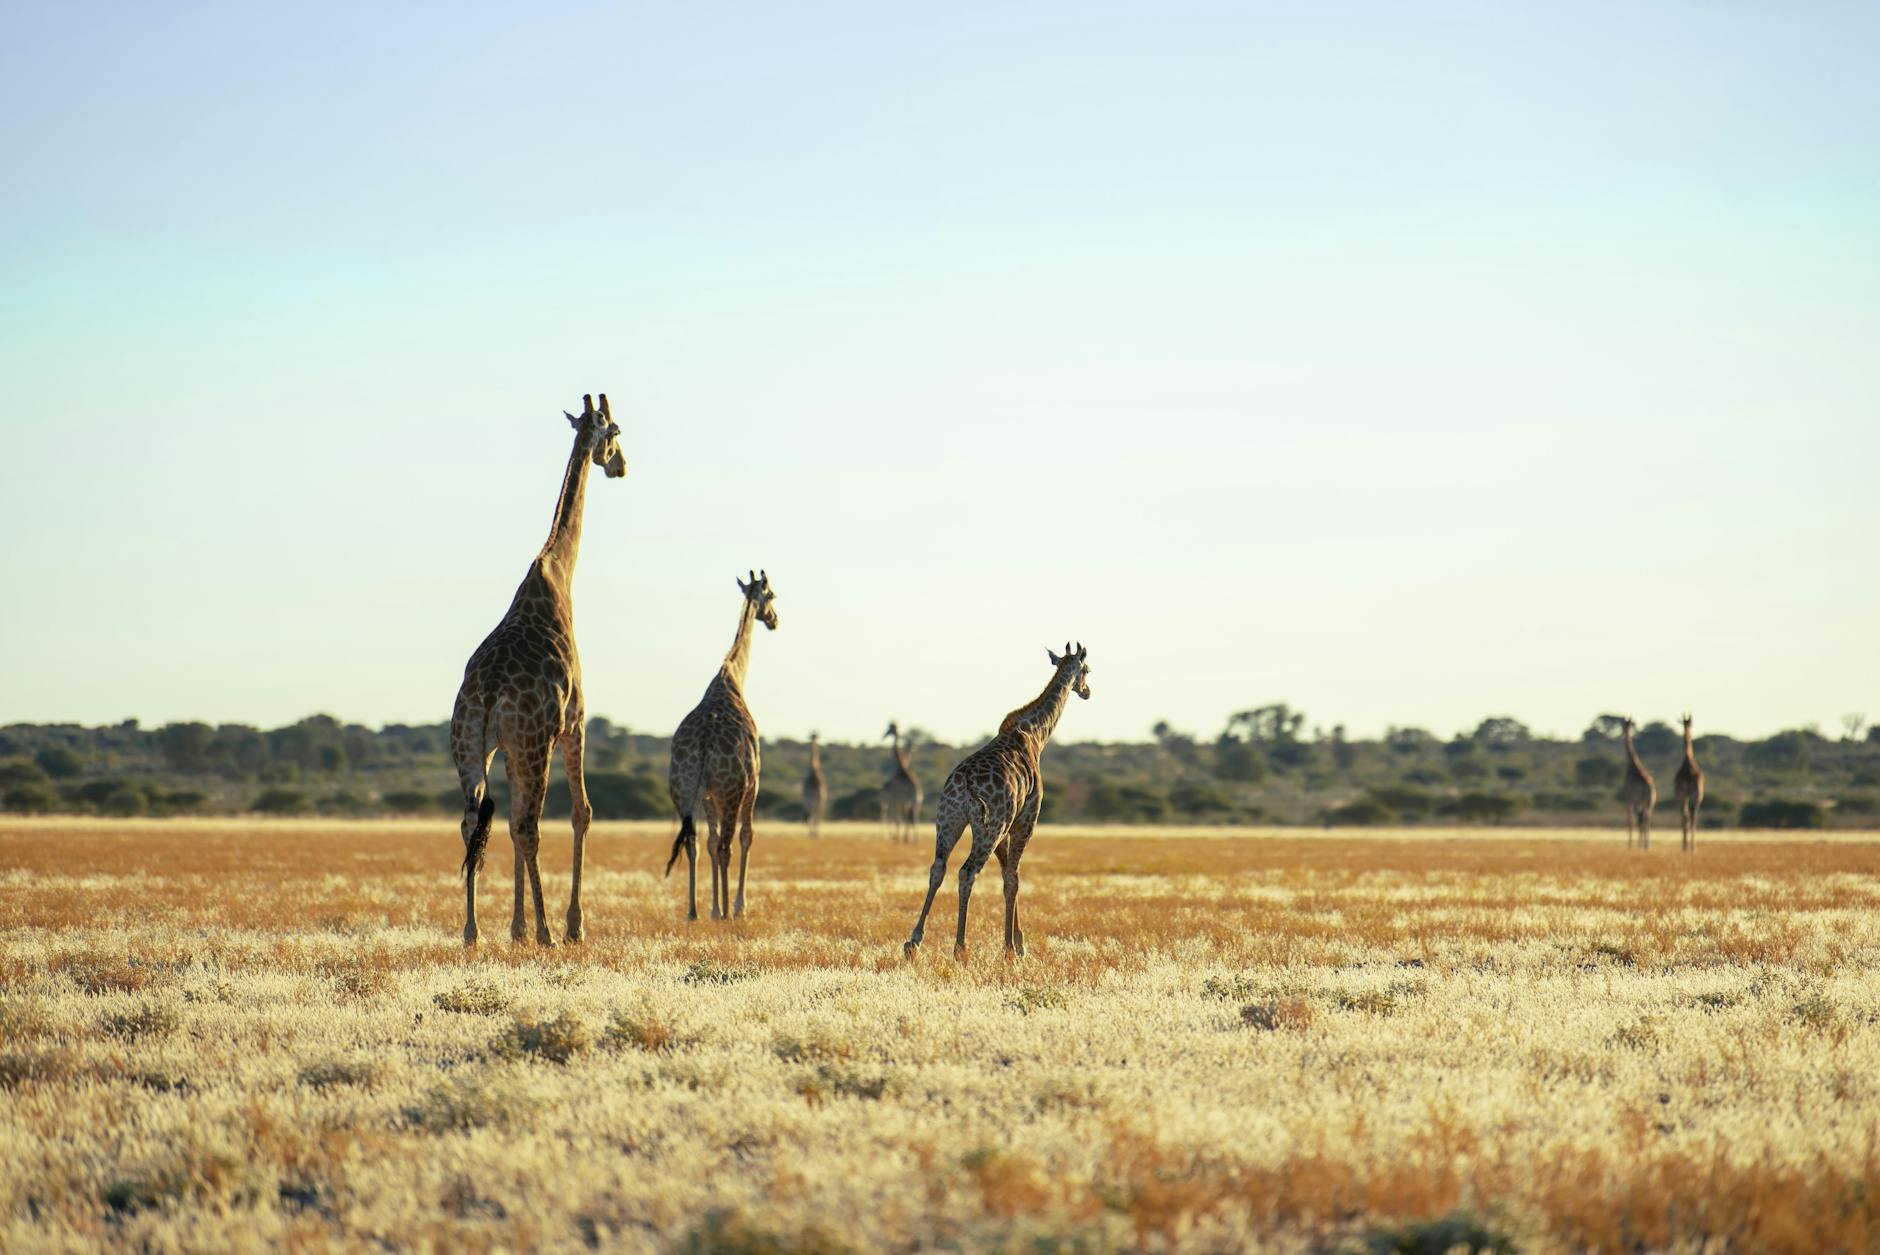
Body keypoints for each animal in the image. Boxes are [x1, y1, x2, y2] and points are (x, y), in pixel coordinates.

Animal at [451, 394, 625, 946]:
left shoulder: (507, 748)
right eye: (616, 431)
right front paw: (571, 925)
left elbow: (503, 824)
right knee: (530, 824)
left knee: (474, 820)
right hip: (534, 743)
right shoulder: (574, 724)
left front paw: (516, 927)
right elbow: (582, 813)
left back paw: (472, 930)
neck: (558, 573)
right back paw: (550, 932)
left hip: (472, 745)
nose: (620, 465)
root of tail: (486, 694)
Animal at [664, 570, 779, 920]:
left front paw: (714, 906)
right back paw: (728, 912)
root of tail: (703, 745)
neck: (732, 678)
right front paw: (736, 906)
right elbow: (746, 836)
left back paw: (693, 911)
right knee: (728, 842)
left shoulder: (707, 794)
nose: (775, 620)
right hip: (731, 790)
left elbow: (711, 842)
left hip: (683, 790)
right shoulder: (753, 782)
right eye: (772, 596)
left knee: (693, 842)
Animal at [903, 643, 1091, 963]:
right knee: (967, 871)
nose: (1087, 691)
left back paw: (913, 941)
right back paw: (960, 948)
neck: (1037, 734)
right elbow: (1013, 877)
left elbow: (1007, 874)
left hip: (949, 820)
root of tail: (965, 784)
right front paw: (1013, 949)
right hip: (988, 826)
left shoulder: (1006, 824)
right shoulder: (1025, 818)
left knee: (938, 868)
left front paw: (1015, 943)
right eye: (1087, 669)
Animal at [1621, 716, 1657, 851]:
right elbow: (1639, 820)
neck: (1632, 764)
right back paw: (1647, 845)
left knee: (1643, 819)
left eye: (1624, 725)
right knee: (1647, 819)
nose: (1623, 733)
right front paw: (1638, 844)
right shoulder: (1638, 801)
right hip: (1650, 802)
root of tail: (1649, 787)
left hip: (1642, 801)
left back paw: (1643, 845)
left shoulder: (1629, 798)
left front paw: (1630, 844)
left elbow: (1631, 820)